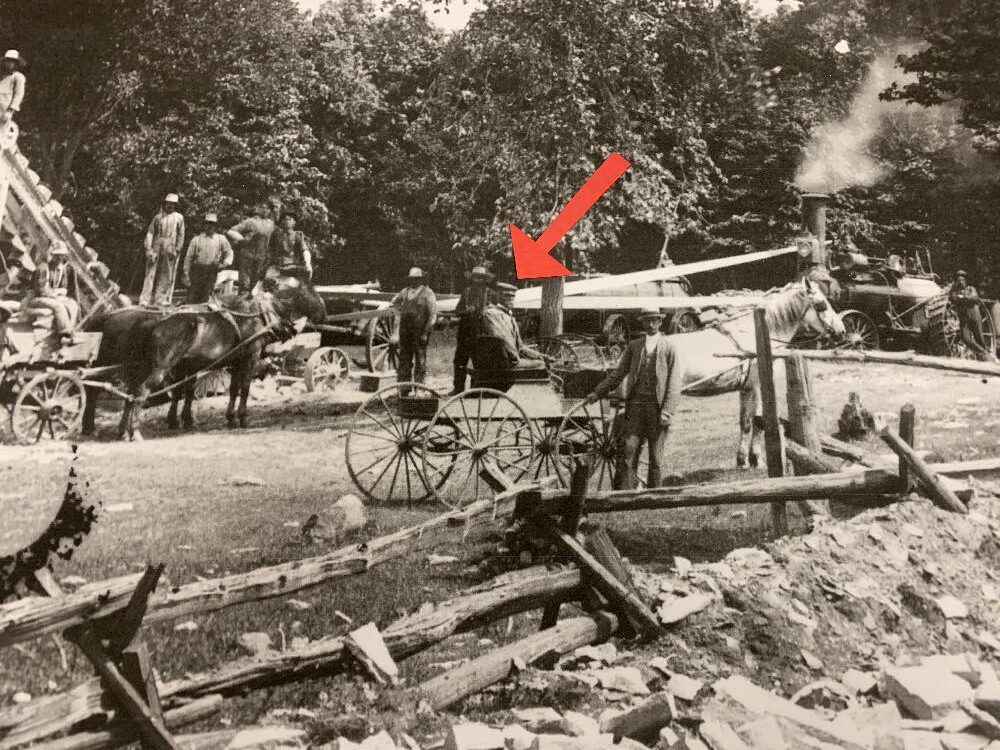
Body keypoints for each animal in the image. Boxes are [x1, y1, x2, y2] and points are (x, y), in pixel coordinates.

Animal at [117, 276, 326, 440]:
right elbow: (244, 389)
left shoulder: (235, 361)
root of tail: (154, 322)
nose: (323, 313)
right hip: (161, 368)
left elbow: (233, 389)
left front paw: (230, 418)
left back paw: (124, 431)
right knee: (142, 391)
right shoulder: (250, 358)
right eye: (310, 291)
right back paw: (135, 432)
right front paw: (242, 418)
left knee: (131, 392)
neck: (257, 315)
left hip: (144, 367)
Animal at [668, 276, 848, 470]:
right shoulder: (757, 385)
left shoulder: (745, 388)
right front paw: (756, 459)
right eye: (823, 304)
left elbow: (744, 421)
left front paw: (742, 460)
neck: (758, 336)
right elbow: (755, 421)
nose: (842, 331)